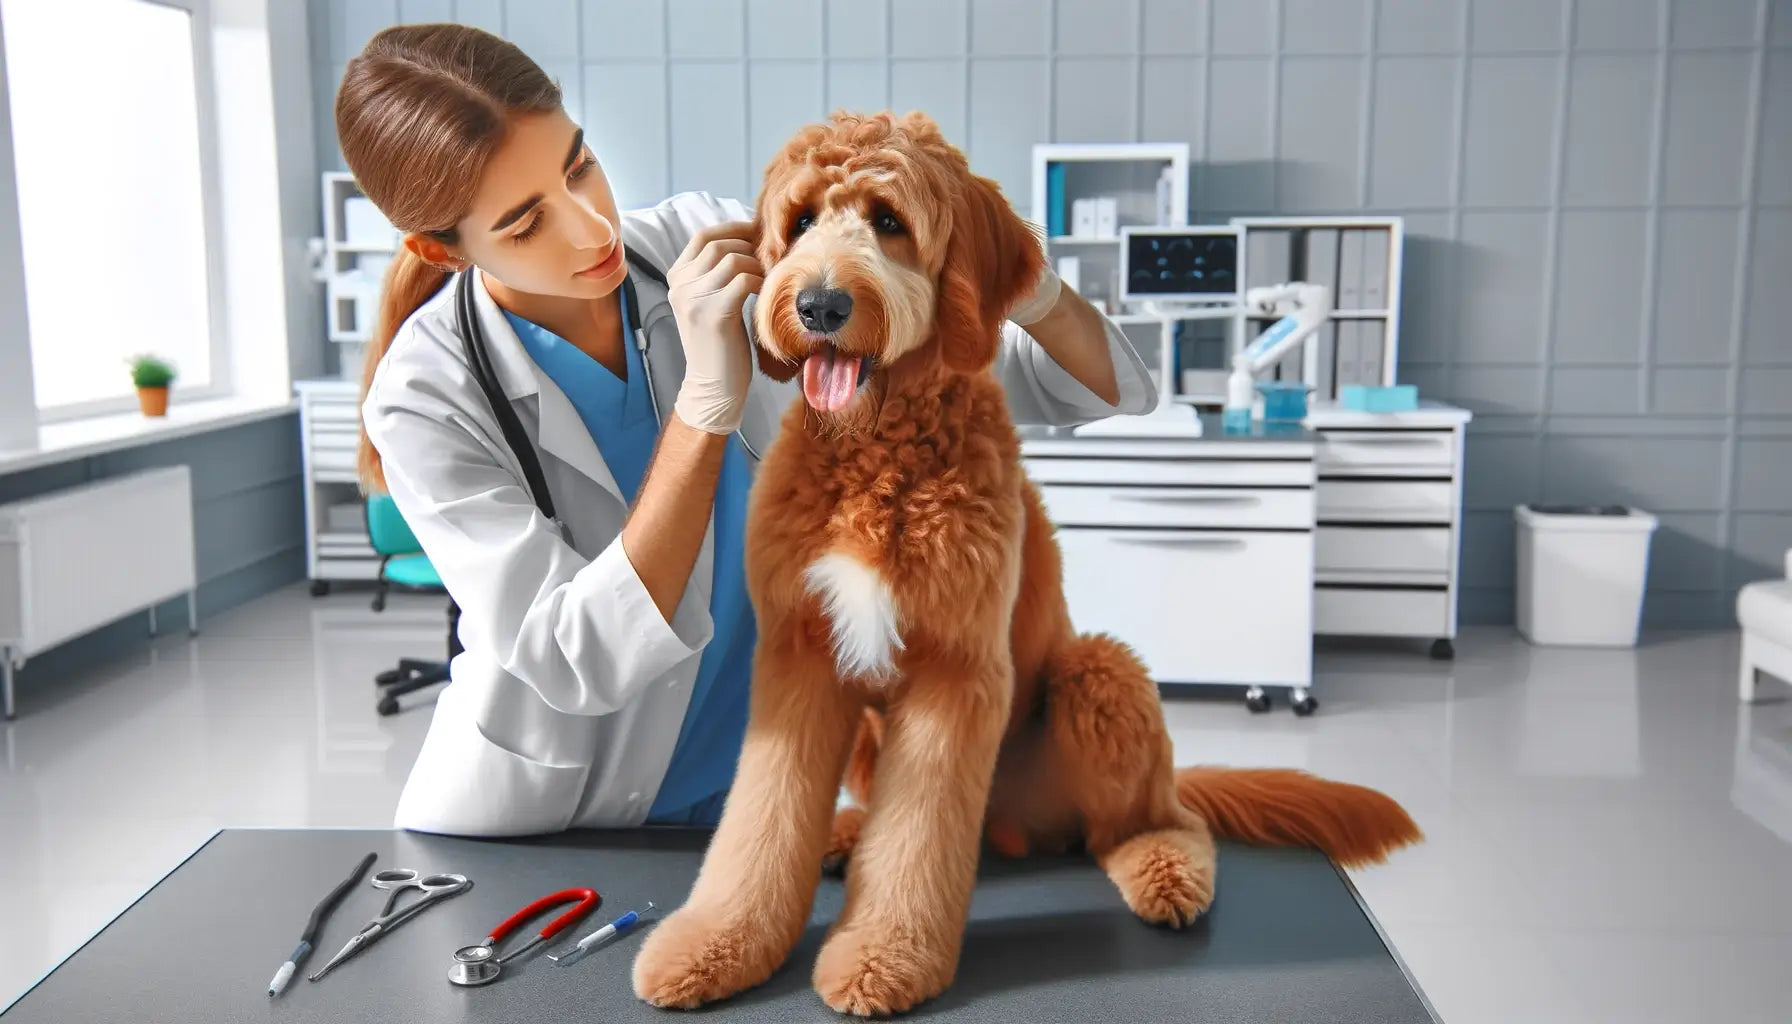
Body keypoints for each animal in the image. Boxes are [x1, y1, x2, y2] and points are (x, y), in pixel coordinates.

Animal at [637, 112, 1419, 1018]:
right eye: (798, 223)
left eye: (889, 221)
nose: (819, 304)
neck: (877, 453)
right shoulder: (799, 655)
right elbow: (759, 821)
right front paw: (718, 943)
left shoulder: (956, 668)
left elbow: (914, 839)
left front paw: (884, 956)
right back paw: (847, 833)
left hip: (1099, 676)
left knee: (1148, 819)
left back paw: (1163, 867)